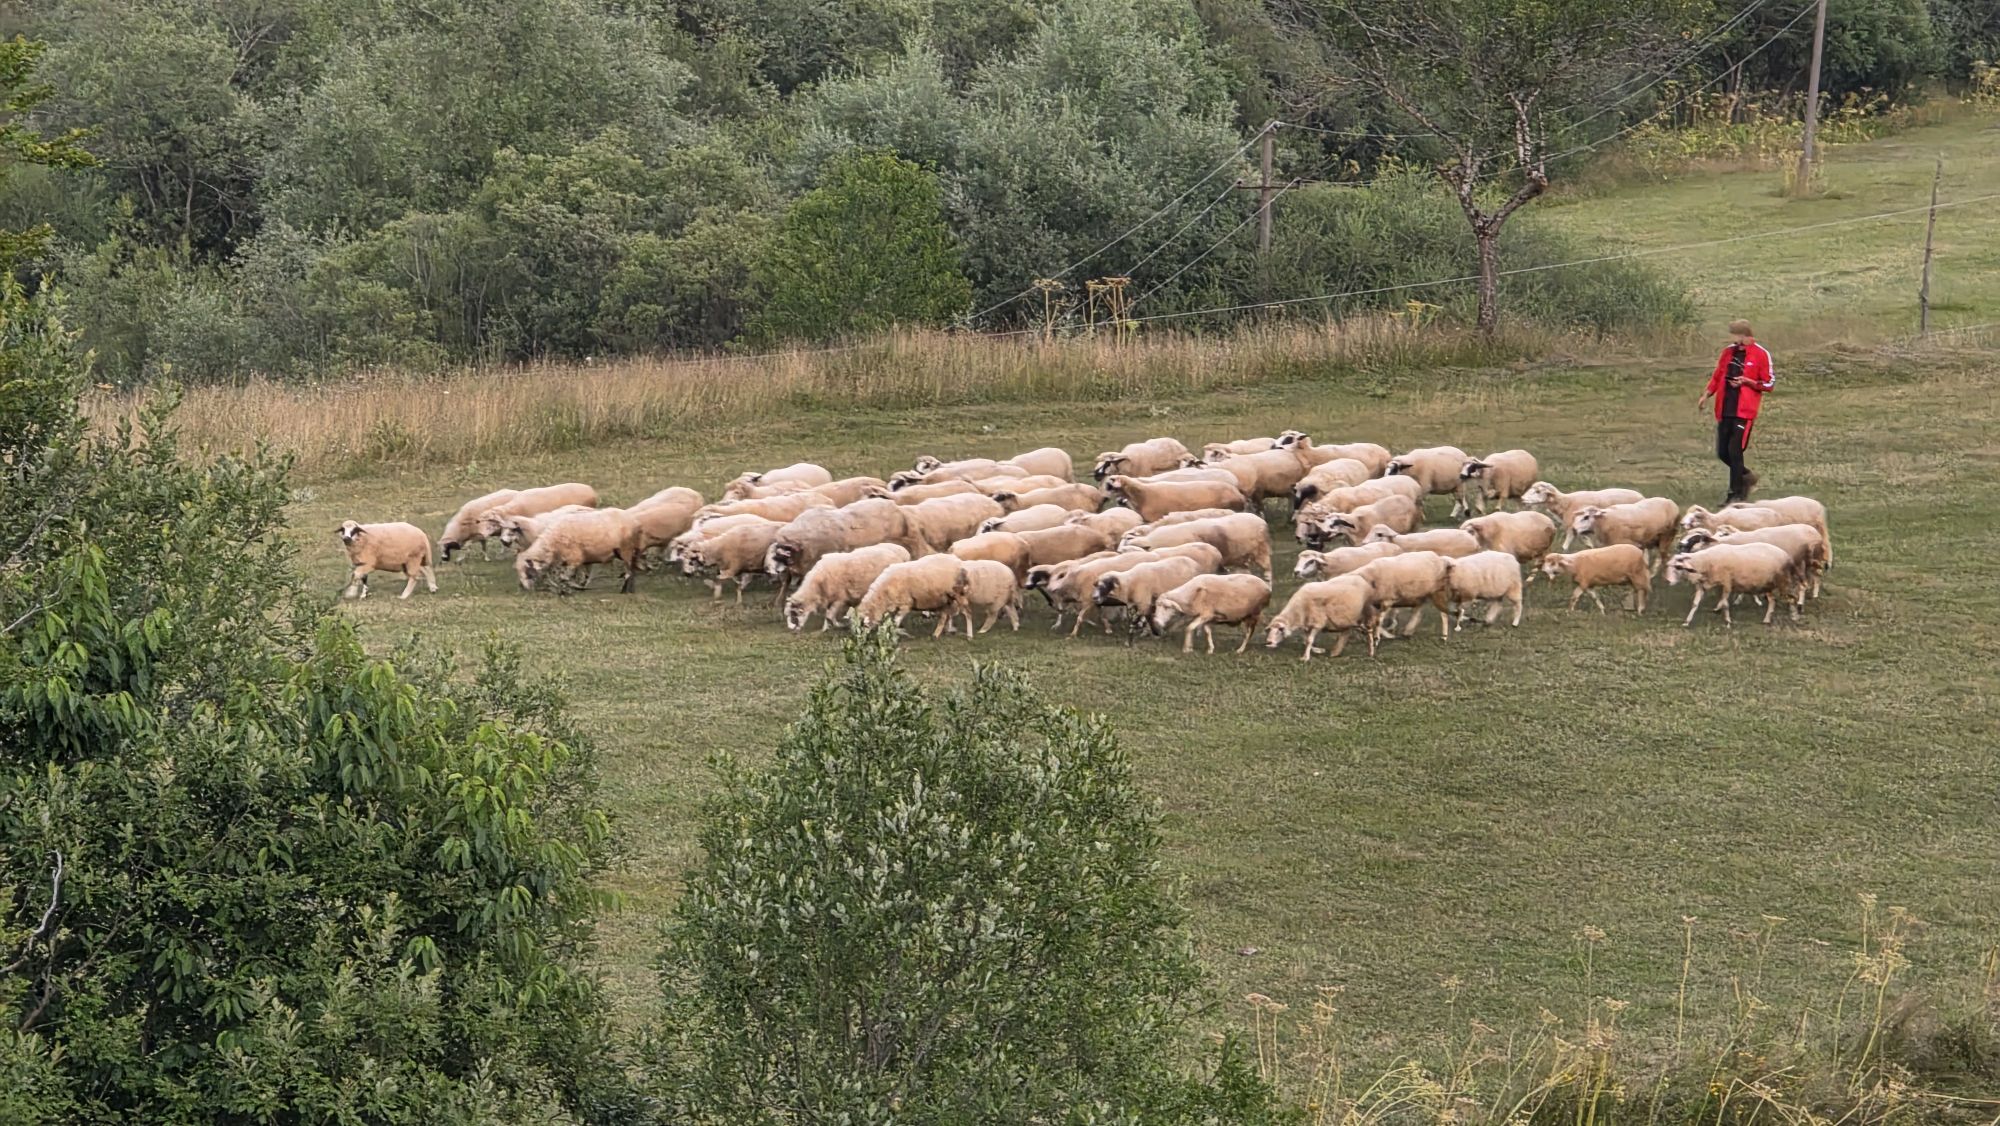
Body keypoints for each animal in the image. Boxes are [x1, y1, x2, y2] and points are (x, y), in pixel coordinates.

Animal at [784, 544, 912, 632]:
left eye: (794, 614)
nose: (793, 630)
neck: (817, 584)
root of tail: (902, 552)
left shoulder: (840, 598)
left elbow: (829, 615)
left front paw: (830, 627)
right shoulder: (832, 598)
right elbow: (829, 614)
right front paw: (829, 626)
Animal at [1118, 513, 1272, 580]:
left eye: (1128, 538)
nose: (1118, 551)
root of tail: (1260, 520)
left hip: (1261, 551)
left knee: (1268, 571)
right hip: (1240, 558)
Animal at [1666, 543, 1799, 627]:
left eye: (1678, 567)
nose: (1668, 581)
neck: (1705, 562)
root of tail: (1786, 555)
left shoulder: (1727, 583)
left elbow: (1725, 604)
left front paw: (1728, 621)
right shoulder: (1702, 586)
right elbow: (1695, 604)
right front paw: (1687, 622)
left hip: (1782, 581)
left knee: (1791, 598)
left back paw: (1794, 617)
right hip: (1767, 584)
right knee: (1772, 601)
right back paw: (1766, 620)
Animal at [1677, 522, 1828, 600]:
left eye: (1695, 539)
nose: (1679, 545)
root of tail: (1816, 535)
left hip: (1801, 562)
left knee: (1806, 582)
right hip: (1811, 562)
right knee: (1816, 576)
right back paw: (1813, 594)